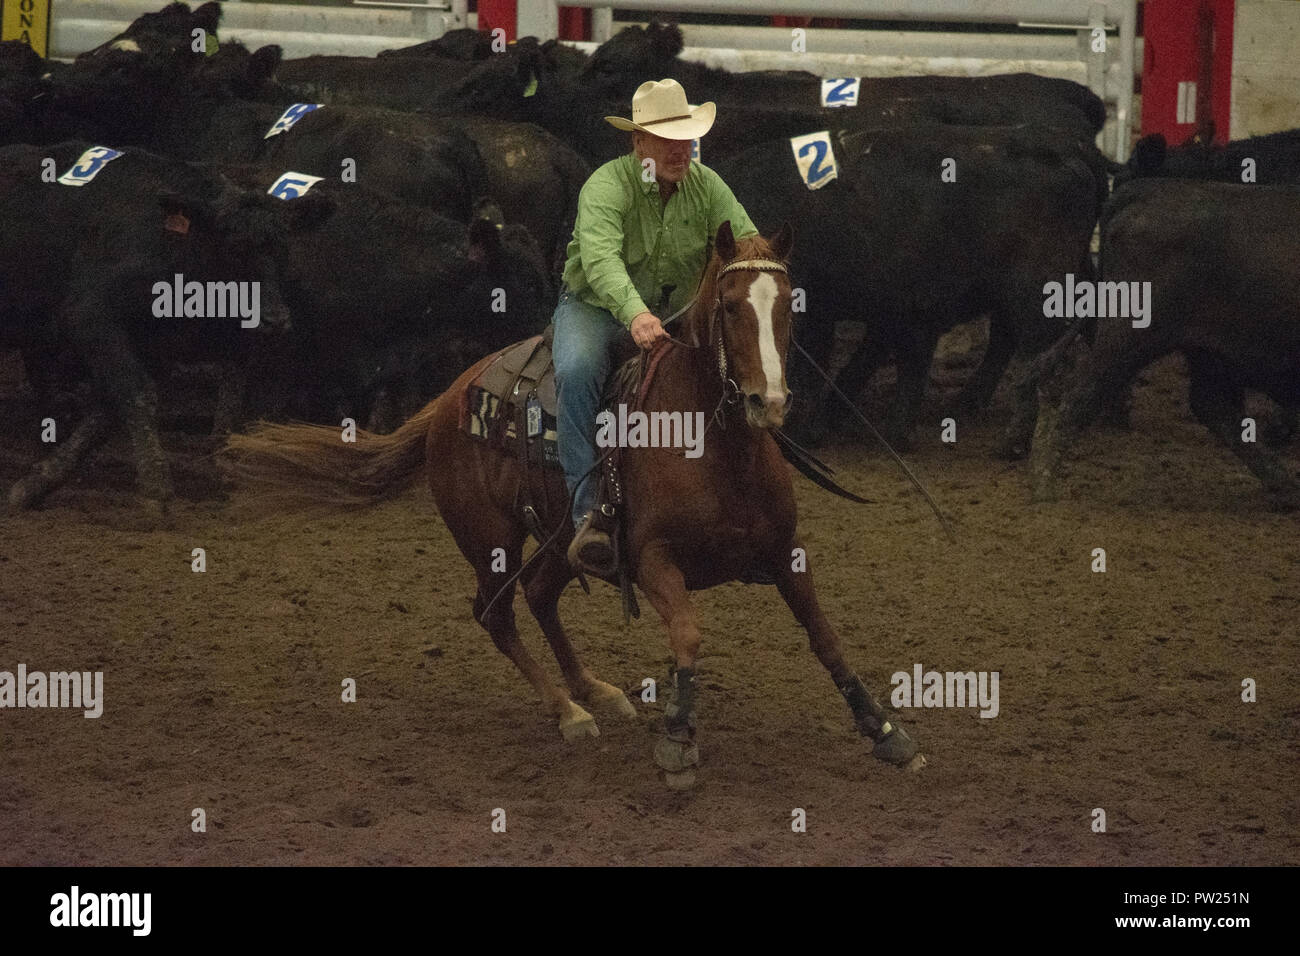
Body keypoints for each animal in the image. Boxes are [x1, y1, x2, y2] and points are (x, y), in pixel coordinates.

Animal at [223, 222, 920, 785]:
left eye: (787, 309)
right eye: (728, 306)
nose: (768, 403)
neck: (718, 449)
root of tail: (447, 399)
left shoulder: (785, 551)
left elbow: (825, 636)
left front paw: (886, 732)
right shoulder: (653, 559)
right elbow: (688, 635)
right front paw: (677, 741)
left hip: (563, 539)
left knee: (538, 595)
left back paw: (597, 692)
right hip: (491, 541)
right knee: (496, 615)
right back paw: (569, 712)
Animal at [1029, 178, 1294, 509]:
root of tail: (1149, 189)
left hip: (1201, 349)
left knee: (1212, 405)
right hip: (1129, 337)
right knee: (1079, 395)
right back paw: (1044, 484)